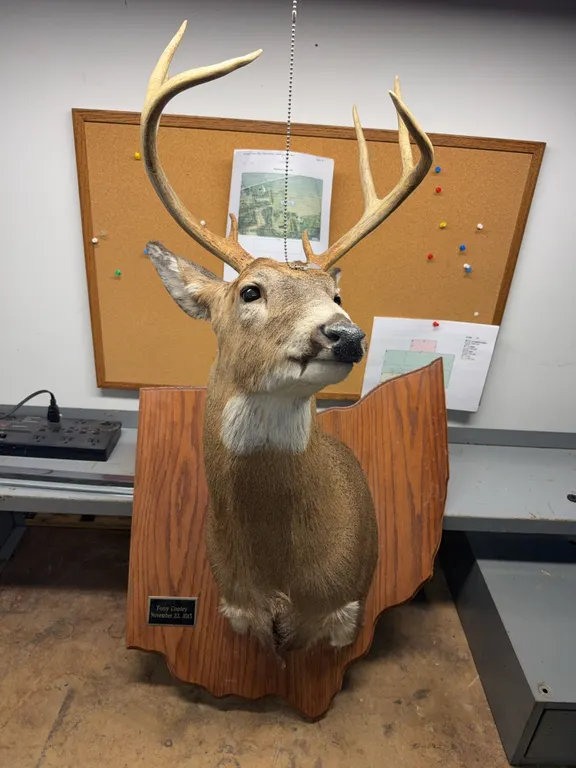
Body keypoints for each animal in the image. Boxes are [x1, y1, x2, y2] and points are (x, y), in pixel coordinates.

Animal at [140, 21, 434, 655]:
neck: (279, 574)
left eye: (337, 293)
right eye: (250, 291)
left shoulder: (340, 610)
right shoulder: (237, 606)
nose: (345, 334)